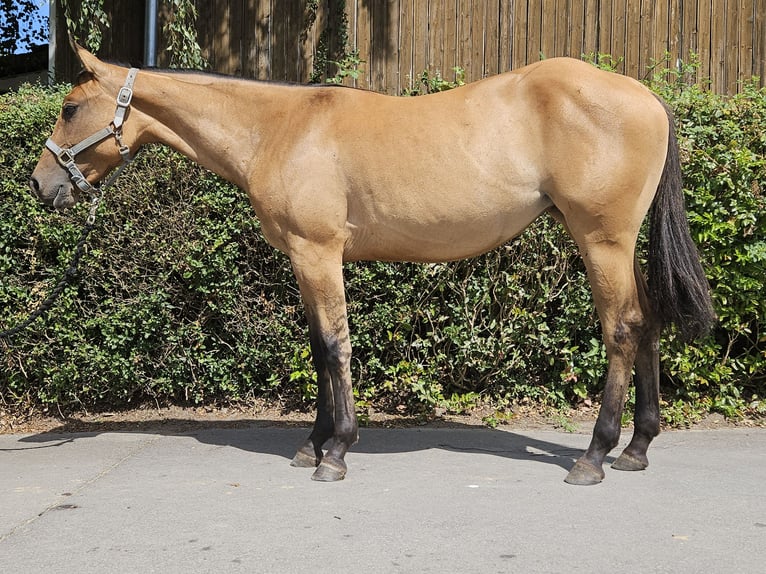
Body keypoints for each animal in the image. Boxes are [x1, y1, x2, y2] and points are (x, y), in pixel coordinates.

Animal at [30, 43, 714, 485]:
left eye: (69, 108)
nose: (40, 185)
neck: (278, 128)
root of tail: (647, 96)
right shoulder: (305, 259)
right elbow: (316, 348)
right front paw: (311, 445)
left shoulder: (318, 252)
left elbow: (334, 345)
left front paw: (336, 451)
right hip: (618, 245)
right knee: (649, 324)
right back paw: (637, 448)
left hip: (602, 240)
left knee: (623, 329)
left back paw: (595, 456)